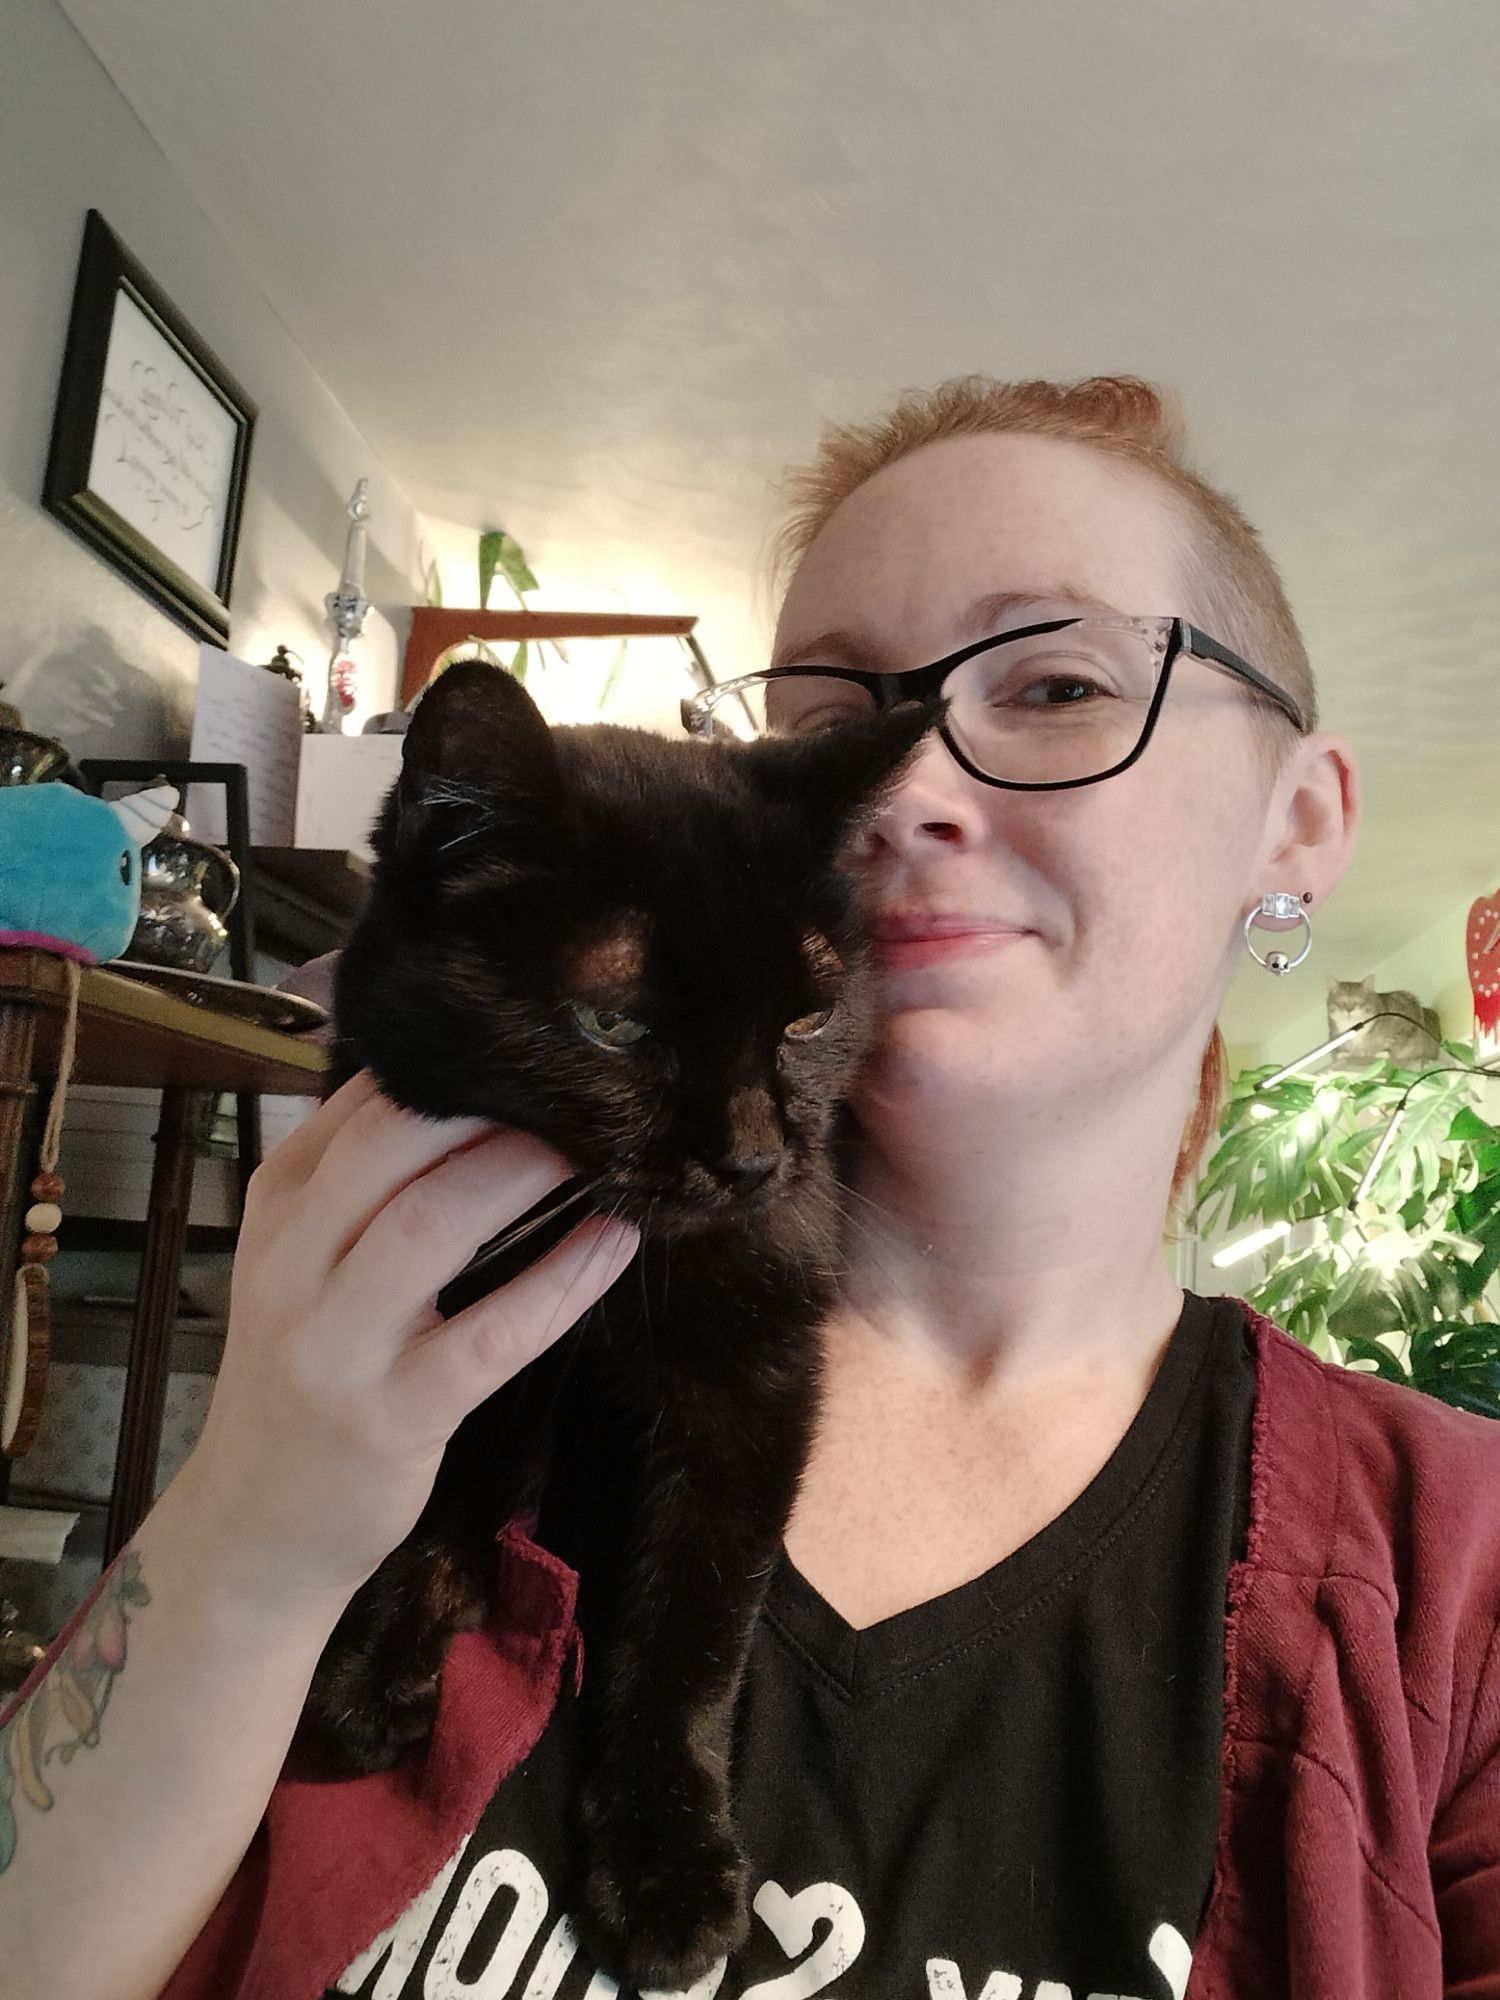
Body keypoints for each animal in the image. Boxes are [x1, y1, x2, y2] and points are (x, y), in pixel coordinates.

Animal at [304, 660, 936, 1984]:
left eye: (808, 1021)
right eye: (616, 1026)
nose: (756, 1161)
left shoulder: (756, 1370)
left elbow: (692, 1617)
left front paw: (666, 1859)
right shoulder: (462, 1318)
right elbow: (441, 1484)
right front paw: (380, 1657)